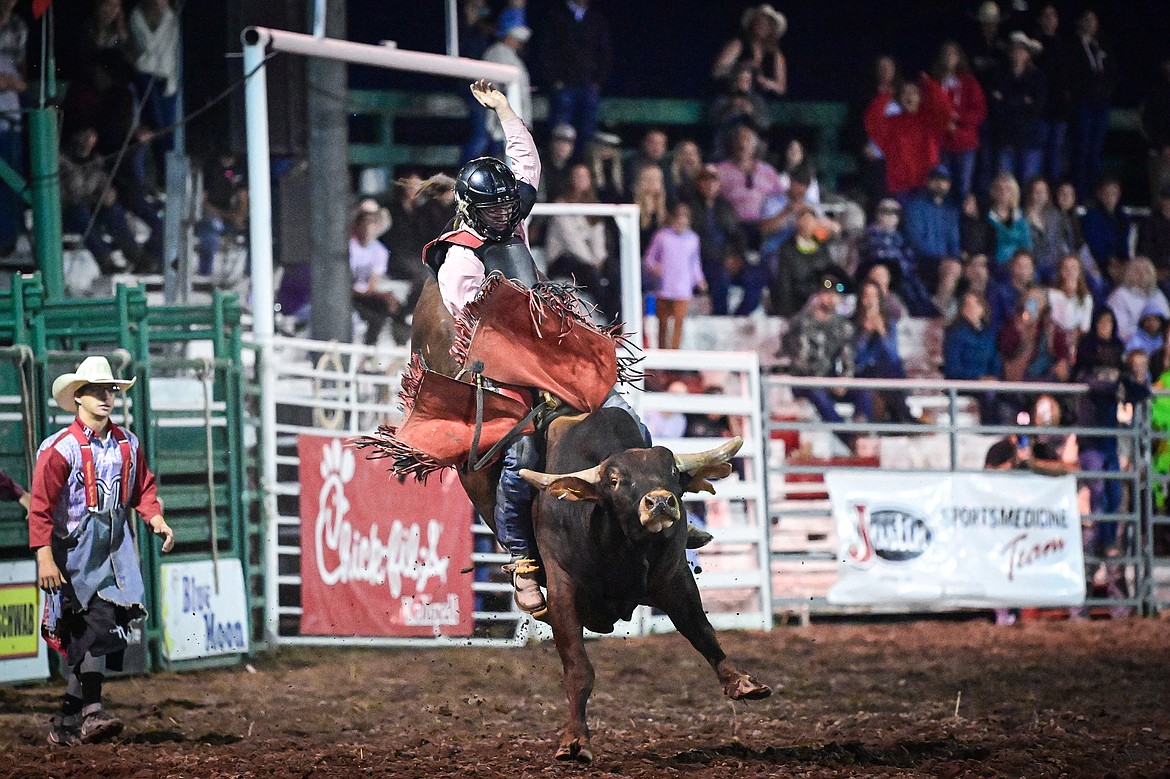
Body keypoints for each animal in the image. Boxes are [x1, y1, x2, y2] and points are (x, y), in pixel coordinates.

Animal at [517, 402, 772, 762]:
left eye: (673, 472)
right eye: (614, 480)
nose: (661, 502)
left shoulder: (674, 577)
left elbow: (701, 631)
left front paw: (741, 681)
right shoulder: (561, 587)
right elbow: (578, 667)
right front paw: (575, 740)